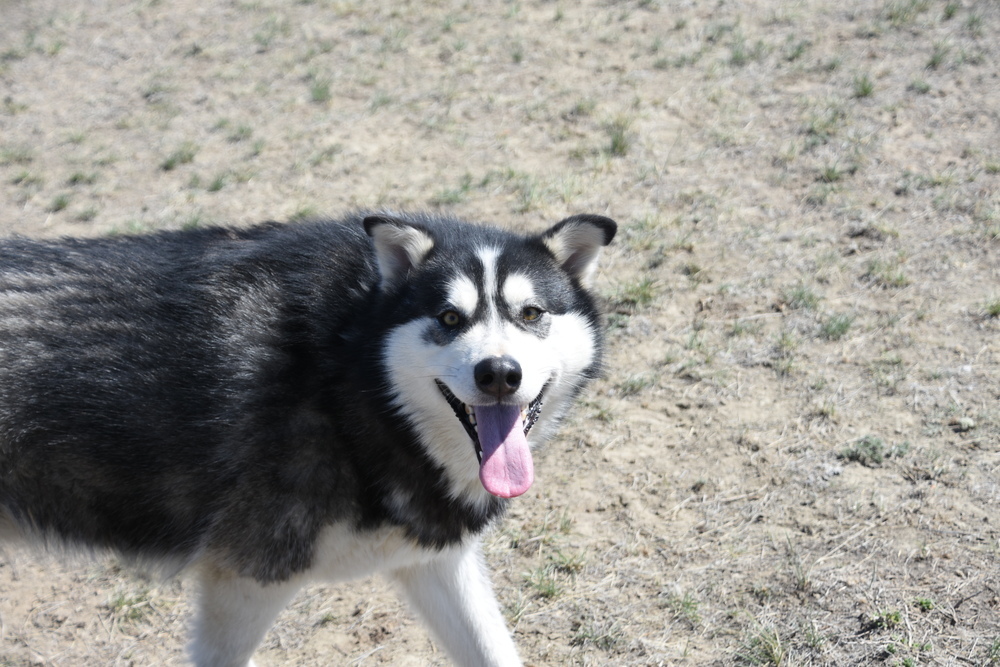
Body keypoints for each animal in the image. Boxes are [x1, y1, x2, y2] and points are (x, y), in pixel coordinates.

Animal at [0, 213, 612, 667]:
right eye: (448, 318)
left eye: (530, 313)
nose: (499, 374)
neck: (346, 373)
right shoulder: (246, 581)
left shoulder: (434, 560)